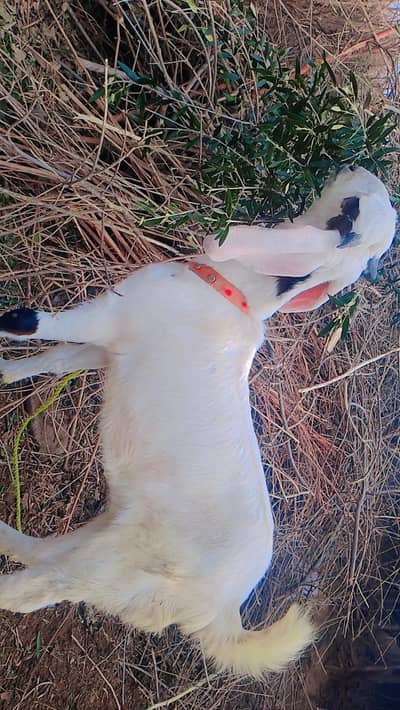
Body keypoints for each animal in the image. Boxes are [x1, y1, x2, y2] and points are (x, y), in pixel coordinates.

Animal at [0, 166, 396, 677]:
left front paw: (9, 325)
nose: (356, 168)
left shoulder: (110, 317)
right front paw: (3, 372)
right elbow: (54, 360)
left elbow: (40, 325)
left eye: (351, 210)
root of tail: (222, 612)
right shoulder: (108, 351)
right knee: (42, 553)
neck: (233, 290)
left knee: (33, 589)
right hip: (112, 534)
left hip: (113, 564)